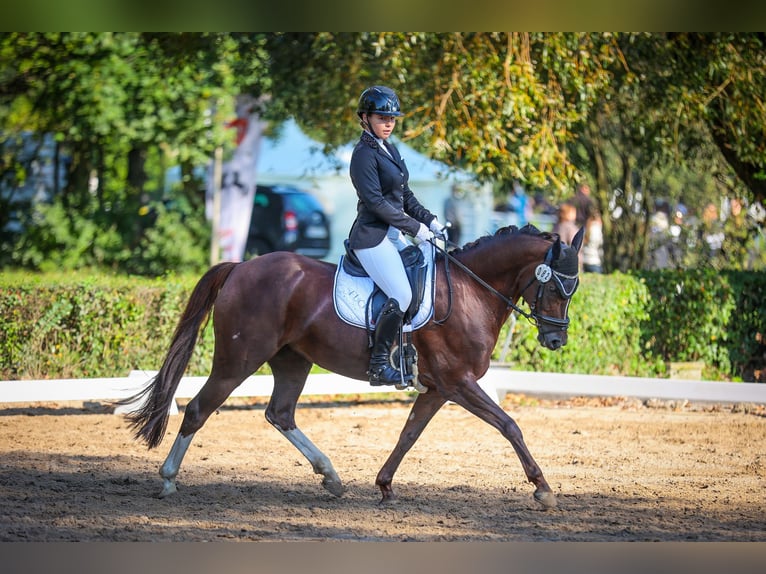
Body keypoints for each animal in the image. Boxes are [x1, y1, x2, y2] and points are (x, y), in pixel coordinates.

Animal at [123, 223, 584, 510]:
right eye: (556, 288)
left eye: (574, 288)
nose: (556, 340)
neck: (471, 290)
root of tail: (241, 266)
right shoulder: (458, 383)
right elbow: (510, 425)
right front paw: (543, 489)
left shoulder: (438, 389)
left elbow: (408, 434)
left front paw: (384, 485)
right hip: (238, 360)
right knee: (199, 410)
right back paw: (168, 479)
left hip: (292, 361)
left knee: (280, 413)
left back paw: (331, 477)